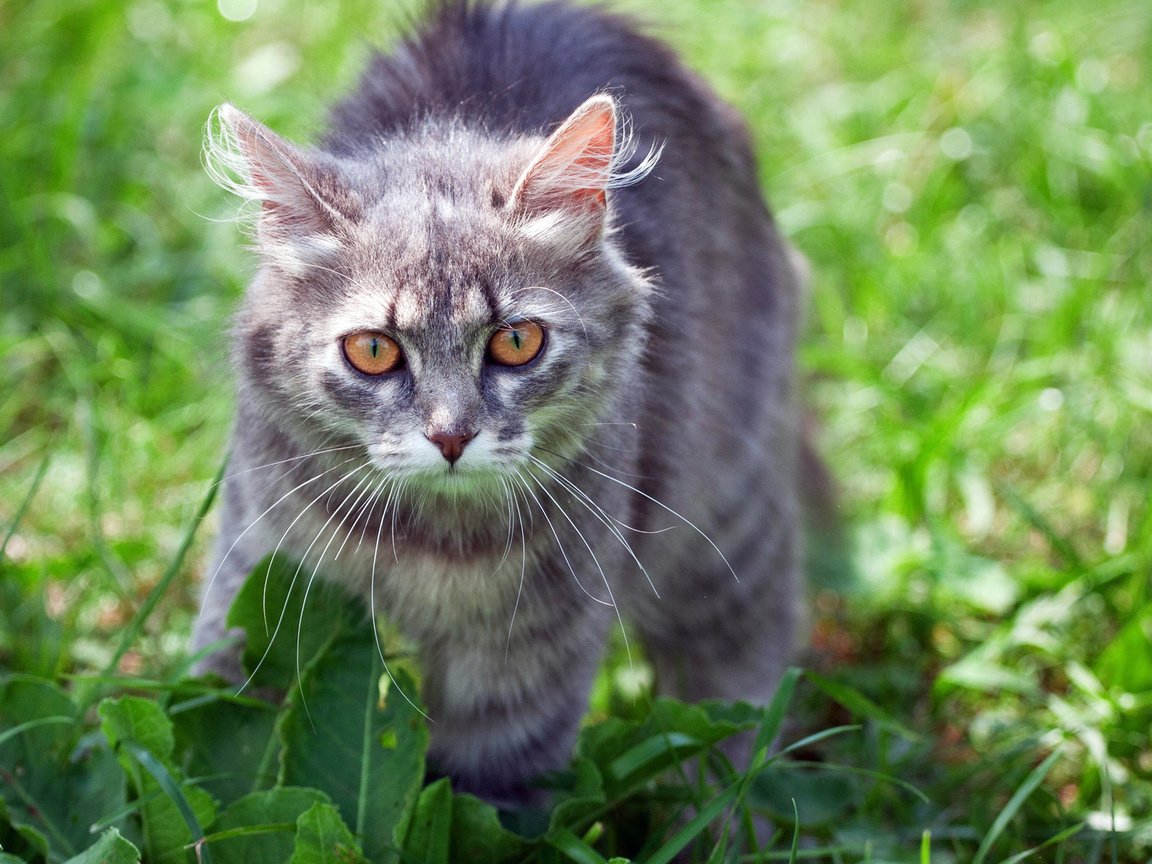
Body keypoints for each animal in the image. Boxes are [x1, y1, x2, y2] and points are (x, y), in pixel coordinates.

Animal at [193, 0, 806, 811]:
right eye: (373, 350)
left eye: (516, 342)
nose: (451, 437)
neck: (427, 544)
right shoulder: (257, 572)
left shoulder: (522, 671)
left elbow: (484, 801)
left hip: (726, 518)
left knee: (743, 677)